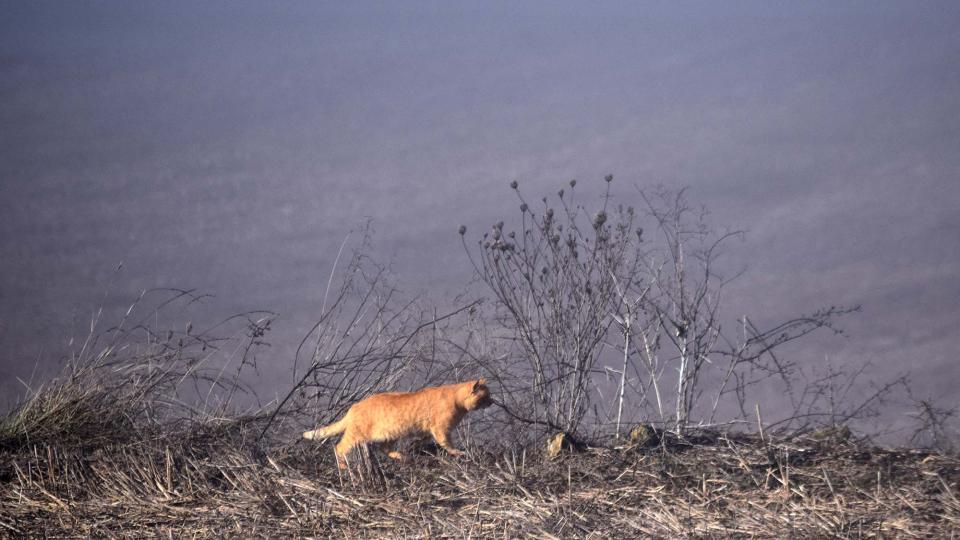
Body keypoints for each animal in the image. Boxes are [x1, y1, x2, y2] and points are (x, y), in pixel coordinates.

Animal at [302, 378, 496, 466]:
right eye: (486, 396)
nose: (493, 402)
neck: (457, 400)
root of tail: (354, 406)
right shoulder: (441, 429)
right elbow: (447, 444)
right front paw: (458, 453)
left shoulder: (428, 432)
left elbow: (423, 441)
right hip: (356, 436)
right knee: (339, 448)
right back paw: (343, 466)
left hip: (391, 434)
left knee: (384, 449)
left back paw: (401, 456)